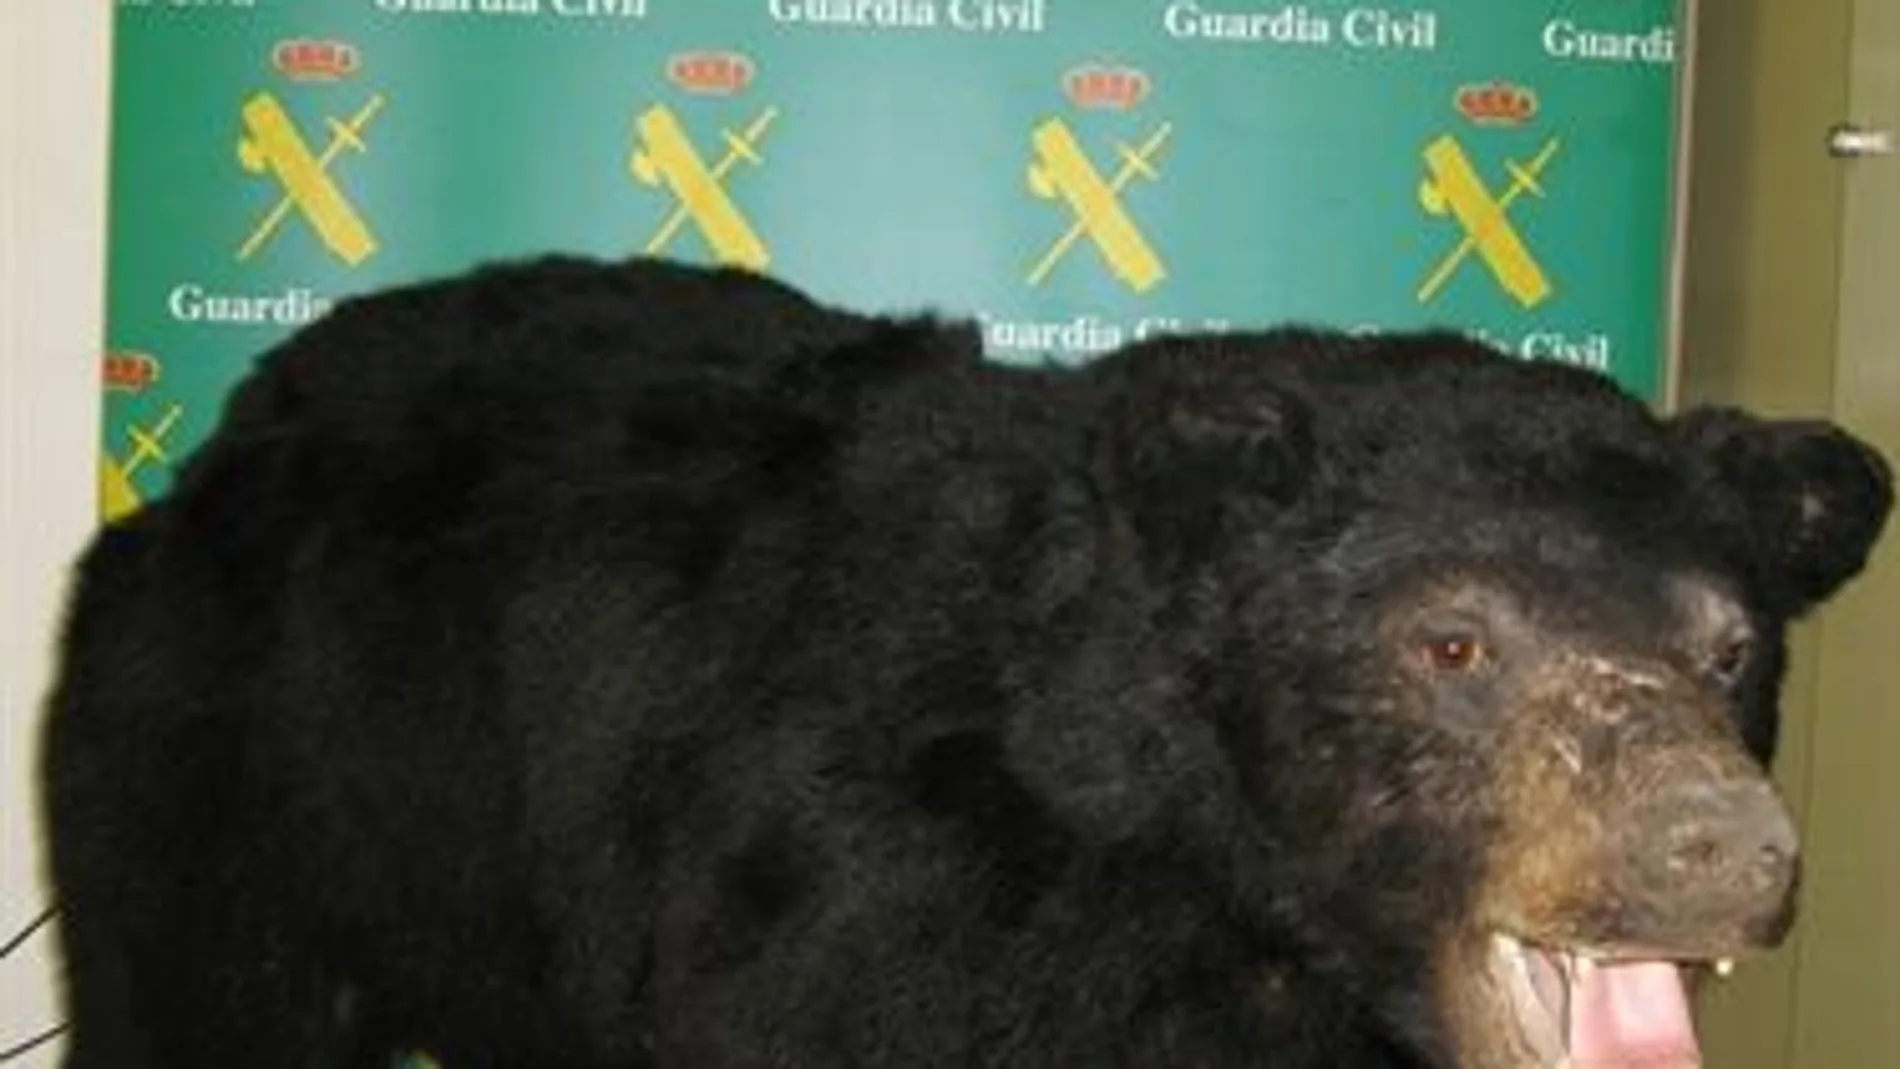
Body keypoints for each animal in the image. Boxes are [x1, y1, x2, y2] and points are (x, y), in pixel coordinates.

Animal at [36, 253, 1893, 1069]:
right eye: (1452, 640)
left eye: (1730, 647)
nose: (1716, 847)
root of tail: (221, 447)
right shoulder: (868, 913)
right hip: (238, 769)